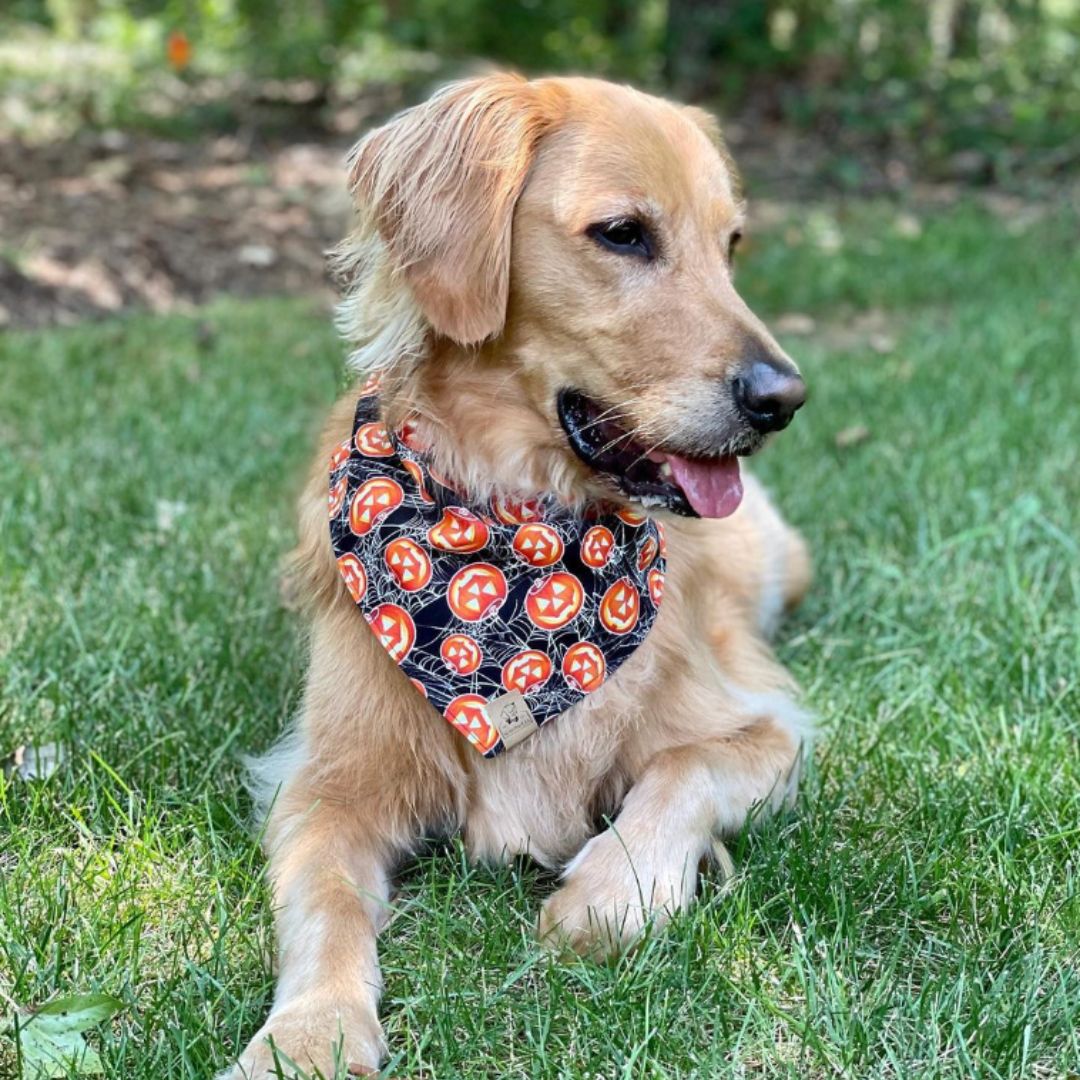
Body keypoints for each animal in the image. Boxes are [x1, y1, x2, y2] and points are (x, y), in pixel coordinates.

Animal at [221, 73, 812, 1080]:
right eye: (623, 234)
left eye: (731, 244)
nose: (784, 400)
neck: (520, 557)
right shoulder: (325, 782)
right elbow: (326, 897)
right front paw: (308, 1032)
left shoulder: (770, 726)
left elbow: (684, 768)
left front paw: (609, 895)